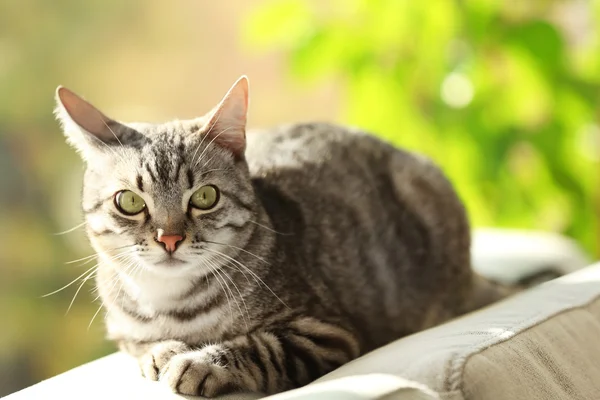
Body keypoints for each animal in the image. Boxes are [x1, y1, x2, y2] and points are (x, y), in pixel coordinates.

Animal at [54, 76, 508, 396]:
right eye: (130, 201)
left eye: (204, 197)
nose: (169, 239)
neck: (172, 306)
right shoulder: (121, 330)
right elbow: (140, 344)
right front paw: (162, 352)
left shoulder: (326, 332)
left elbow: (260, 347)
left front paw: (199, 363)